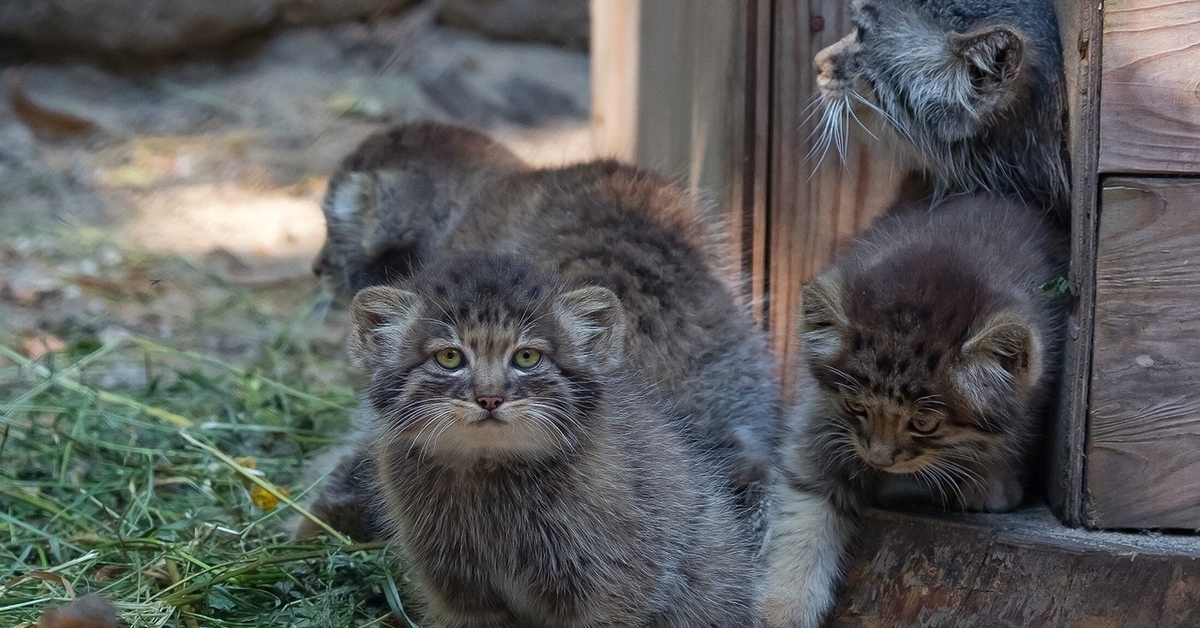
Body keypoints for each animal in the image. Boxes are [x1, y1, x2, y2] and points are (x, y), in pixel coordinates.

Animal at [343, 255, 763, 628]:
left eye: (527, 357)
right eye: (449, 358)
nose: (490, 398)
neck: (490, 471)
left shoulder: (611, 583)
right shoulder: (455, 585)